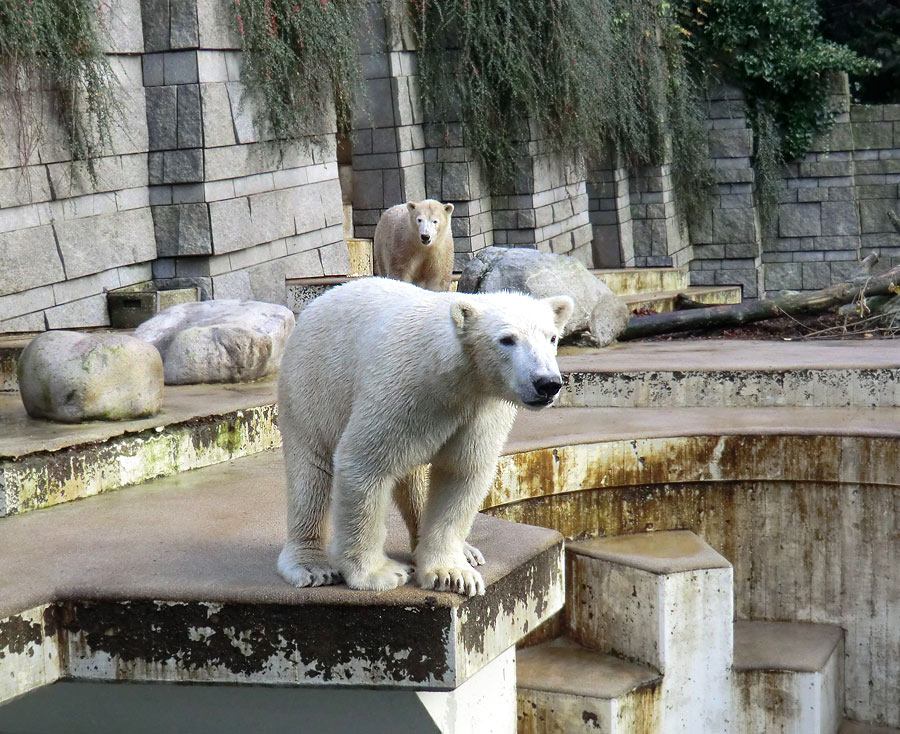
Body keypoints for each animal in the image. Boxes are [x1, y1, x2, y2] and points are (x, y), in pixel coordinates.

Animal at [276, 276, 568, 600]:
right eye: (507, 339)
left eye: (552, 337)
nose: (547, 383)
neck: (453, 375)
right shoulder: (405, 390)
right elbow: (364, 463)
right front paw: (379, 573)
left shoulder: (481, 409)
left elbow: (461, 473)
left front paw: (452, 574)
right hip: (313, 386)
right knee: (311, 472)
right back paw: (313, 565)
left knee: (413, 477)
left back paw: (464, 551)